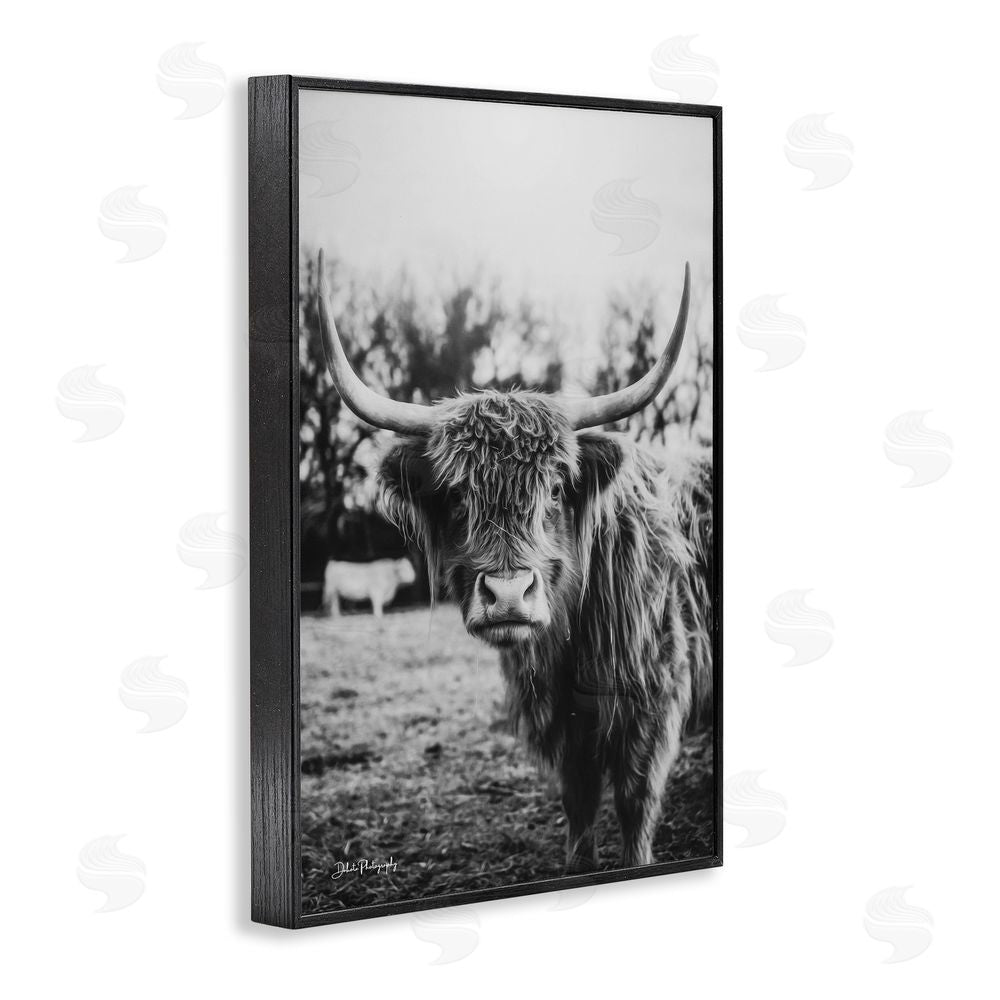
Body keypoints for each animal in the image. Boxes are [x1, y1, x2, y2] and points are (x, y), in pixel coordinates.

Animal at [314, 249, 713, 872]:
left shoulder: (653, 703)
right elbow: (578, 806)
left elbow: (634, 806)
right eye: (456, 495)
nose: (506, 596)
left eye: (555, 490)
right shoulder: (567, 727)